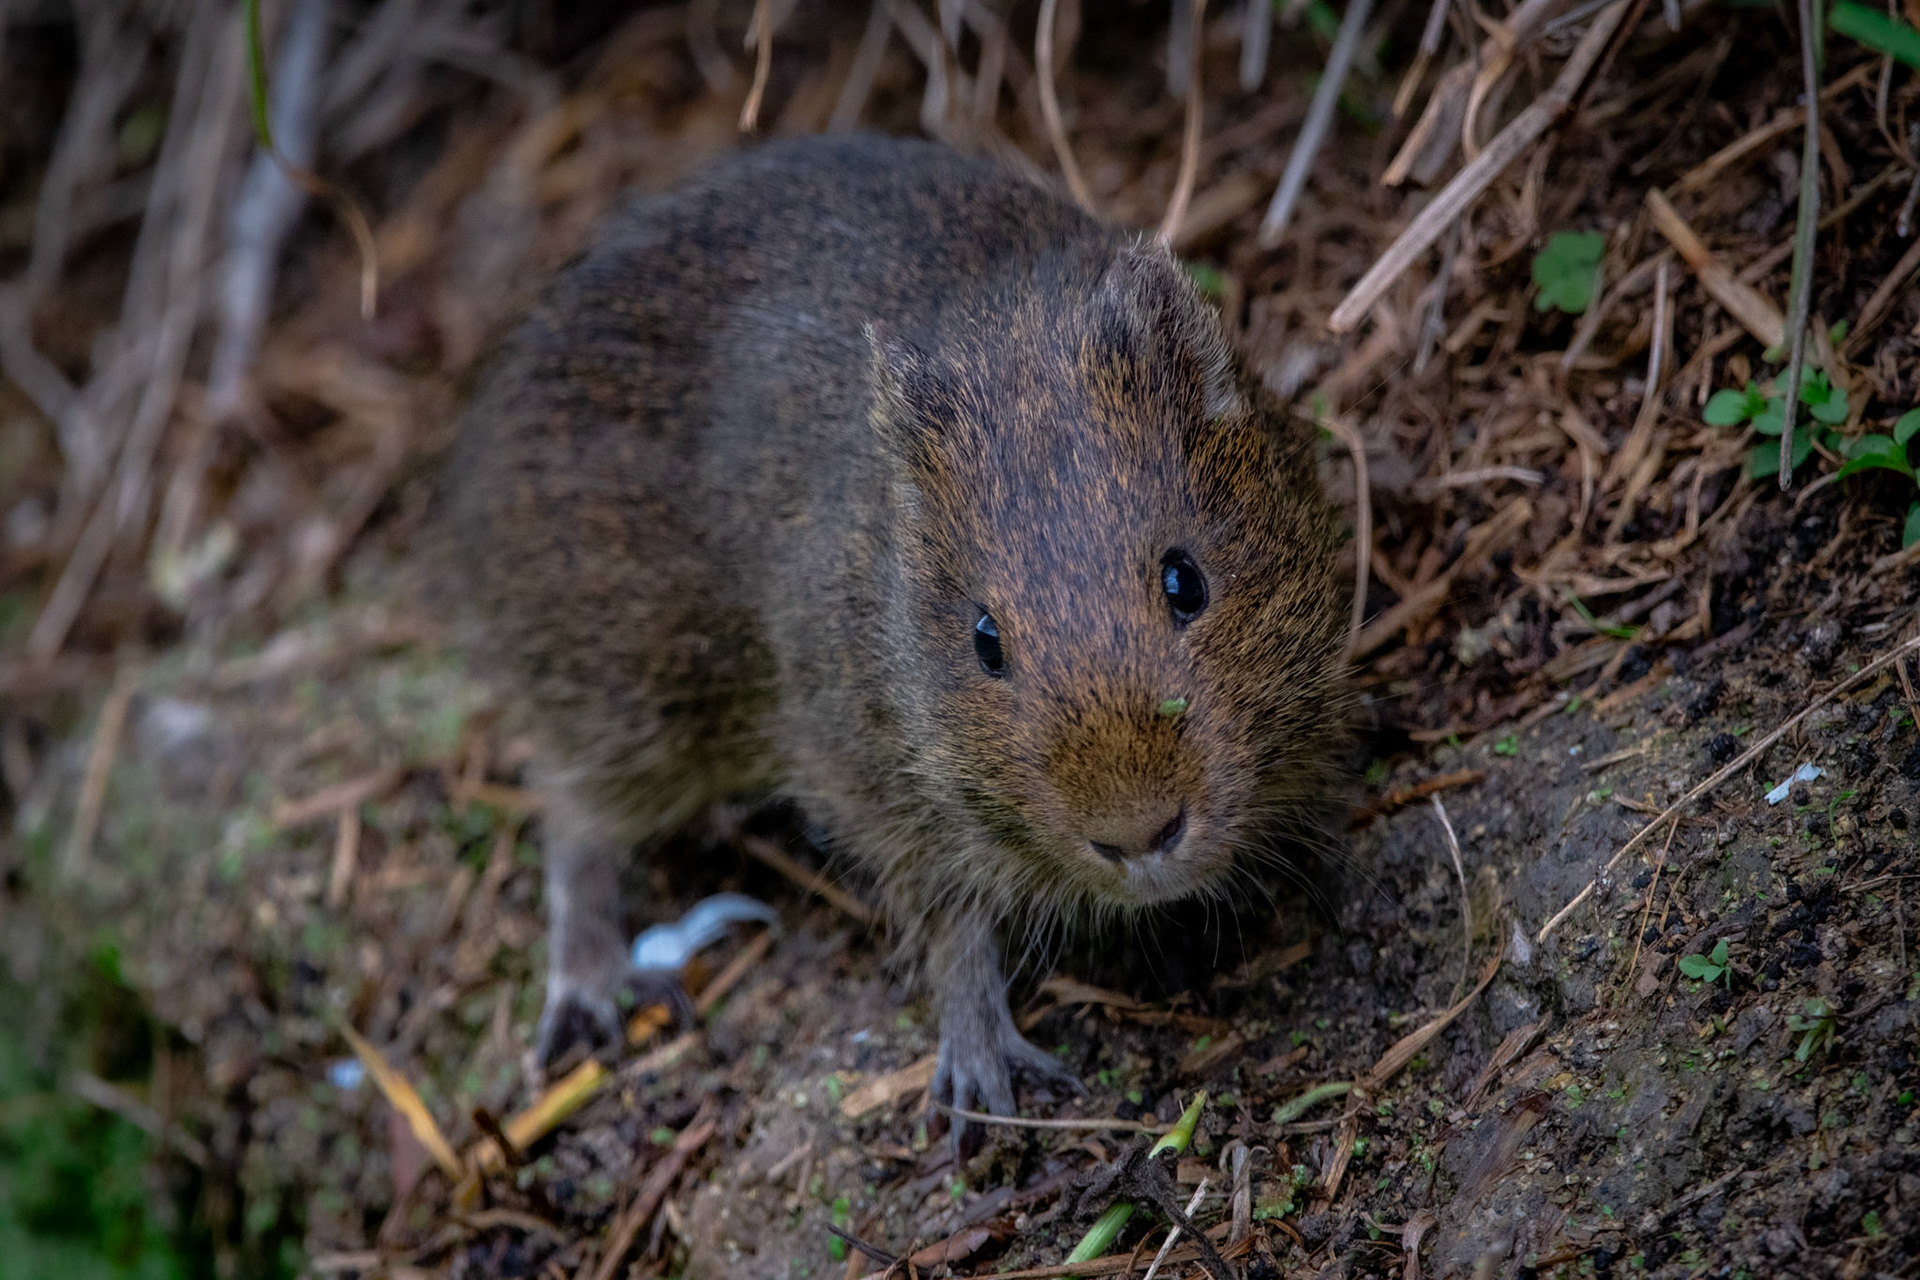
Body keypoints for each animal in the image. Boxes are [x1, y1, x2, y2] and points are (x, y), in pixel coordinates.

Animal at [438, 134, 1347, 1138]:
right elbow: (950, 927)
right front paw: (982, 1087)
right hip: (629, 705)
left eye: (1186, 581)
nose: (1139, 835)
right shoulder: (868, 786)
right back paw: (587, 1004)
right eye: (985, 640)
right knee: (571, 824)